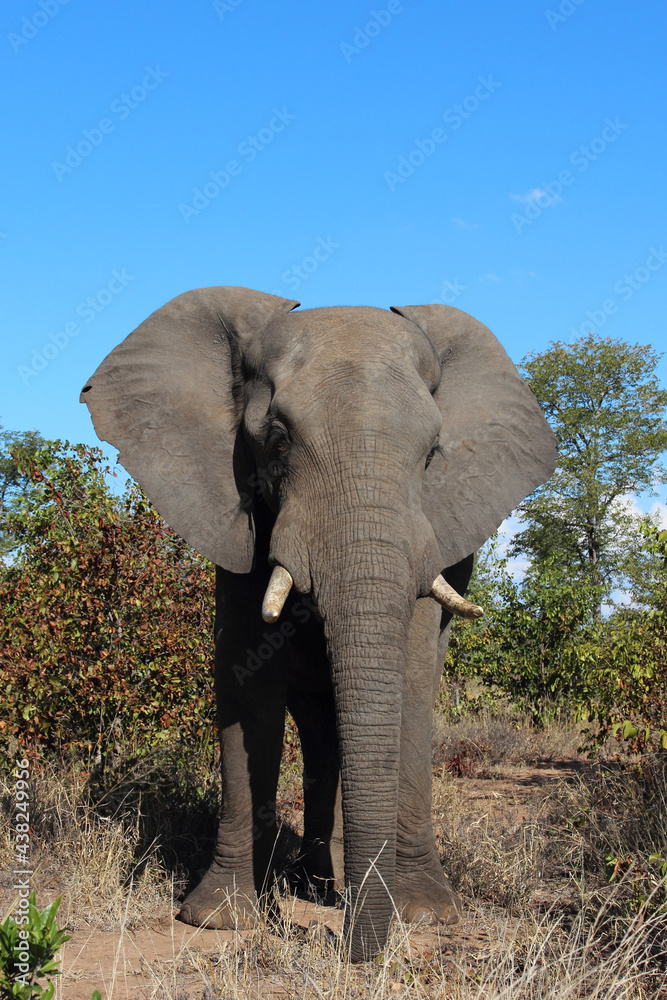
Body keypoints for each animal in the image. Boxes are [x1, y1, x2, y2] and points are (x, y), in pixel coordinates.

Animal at [80, 286, 556, 961]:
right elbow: (247, 681)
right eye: (277, 438)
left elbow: (414, 669)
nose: (352, 947)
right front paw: (218, 919)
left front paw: (424, 915)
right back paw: (317, 885)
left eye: (432, 454)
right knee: (320, 730)